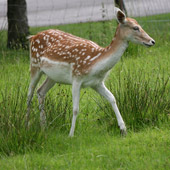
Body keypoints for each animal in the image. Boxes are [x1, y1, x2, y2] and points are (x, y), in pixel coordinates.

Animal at [25, 8, 155, 137]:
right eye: (135, 28)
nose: (152, 41)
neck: (95, 64)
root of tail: (32, 37)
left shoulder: (97, 83)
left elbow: (112, 98)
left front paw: (123, 130)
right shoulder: (76, 77)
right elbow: (75, 109)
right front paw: (71, 134)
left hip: (52, 77)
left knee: (40, 91)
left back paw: (44, 127)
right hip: (34, 65)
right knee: (29, 94)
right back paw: (27, 125)